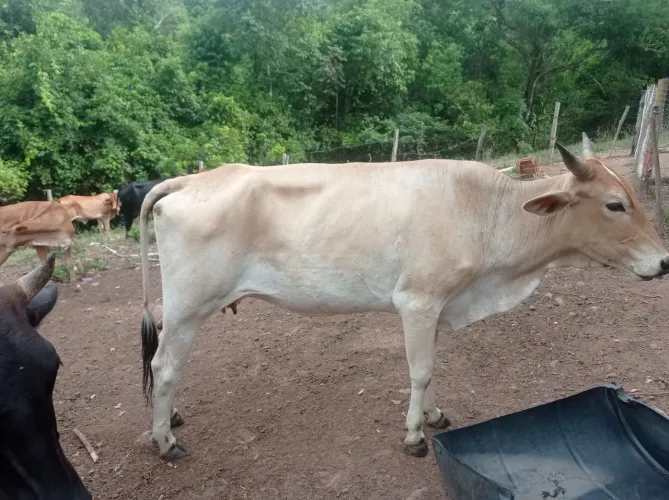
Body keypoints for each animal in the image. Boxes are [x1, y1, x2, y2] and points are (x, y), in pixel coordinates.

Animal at [137, 134, 669, 461]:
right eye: (615, 204)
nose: (664, 262)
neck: (487, 214)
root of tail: (191, 180)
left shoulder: (438, 305)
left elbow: (434, 366)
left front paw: (433, 416)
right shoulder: (417, 300)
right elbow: (421, 370)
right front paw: (414, 434)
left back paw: (173, 418)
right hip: (187, 307)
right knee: (164, 365)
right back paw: (165, 440)